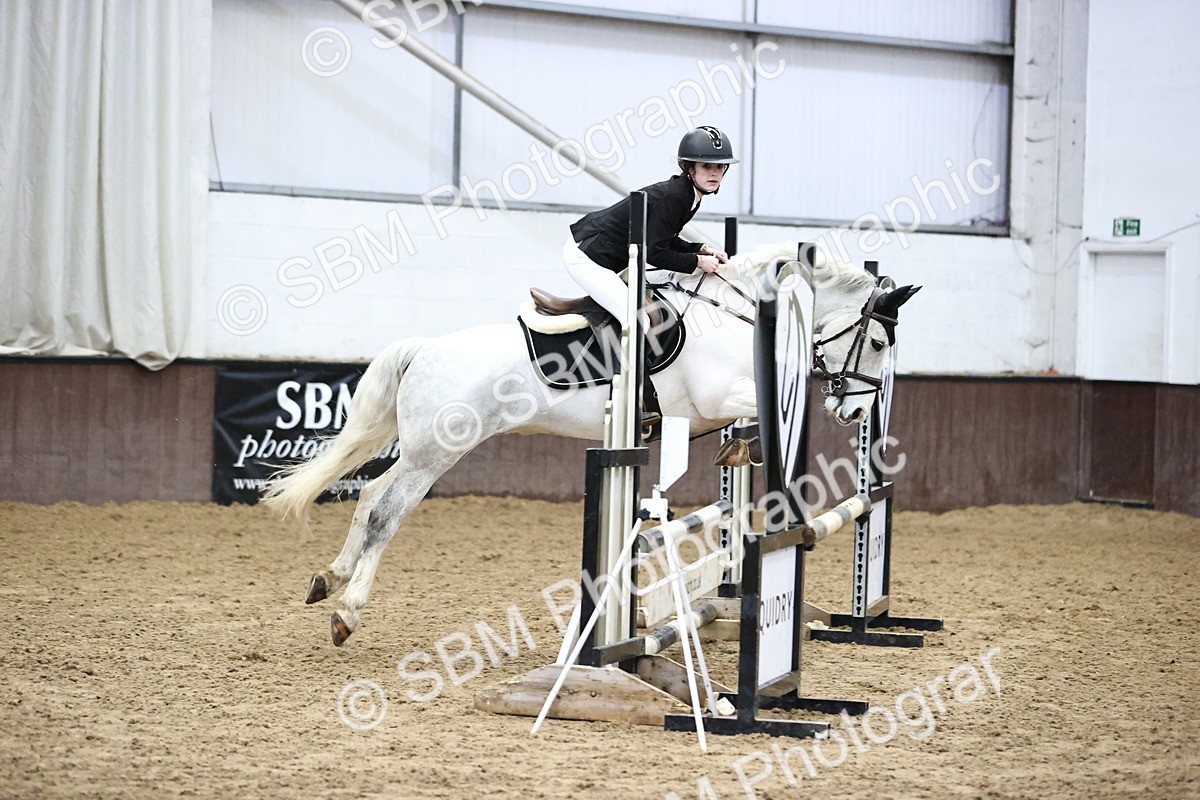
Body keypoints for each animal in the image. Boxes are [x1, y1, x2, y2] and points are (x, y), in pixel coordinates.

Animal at [262, 243, 920, 645]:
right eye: (879, 343)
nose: (853, 409)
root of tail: (425, 348)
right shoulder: (716, 397)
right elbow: (766, 409)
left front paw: (740, 454)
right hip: (436, 454)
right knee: (385, 512)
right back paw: (347, 610)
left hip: (422, 450)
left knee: (369, 494)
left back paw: (329, 579)